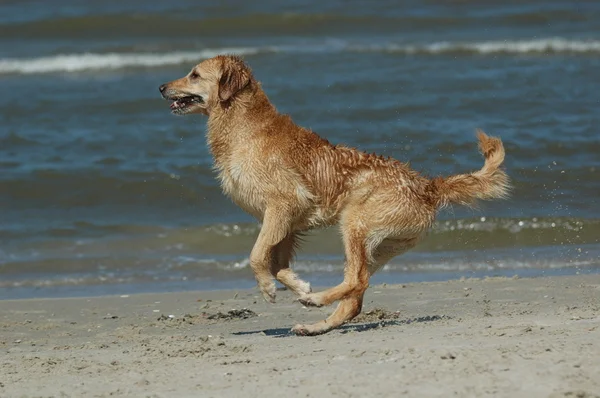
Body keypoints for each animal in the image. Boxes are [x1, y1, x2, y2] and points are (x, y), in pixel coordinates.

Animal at [159, 55, 510, 336]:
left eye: (194, 74)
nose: (161, 87)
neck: (243, 126)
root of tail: (427, 186)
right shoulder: (287, 223)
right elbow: (279, 264)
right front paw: (297, 283)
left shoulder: (283, 205)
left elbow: (257, 255)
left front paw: (270, 289)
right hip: (379, 247)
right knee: (354, 299)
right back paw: (315, 325)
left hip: (355, 223)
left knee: (356, 283)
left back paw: (315, 301)